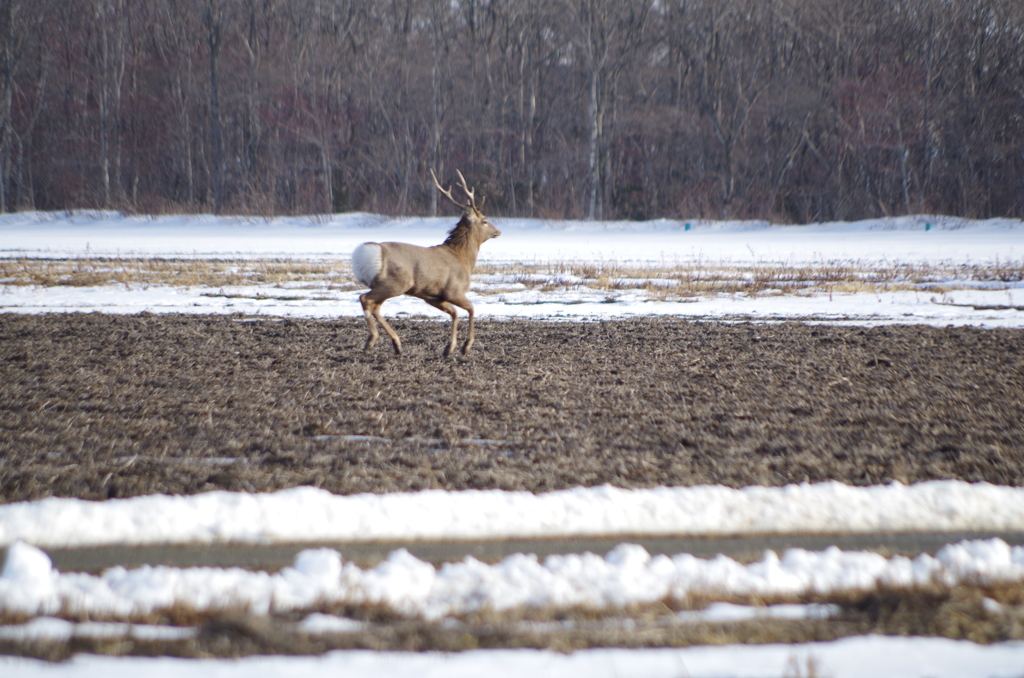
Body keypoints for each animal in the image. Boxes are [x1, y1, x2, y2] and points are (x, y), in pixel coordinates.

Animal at [352, 170, 499, 358]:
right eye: (485, 220)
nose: (497, 232)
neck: (463, 258)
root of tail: (369, 252)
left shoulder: (432, 296)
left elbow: (454, 313)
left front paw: (449, 348)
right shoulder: (454, 290)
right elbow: (471, 309)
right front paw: (465, 346)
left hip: (388, 285)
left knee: (375, 306)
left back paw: (397, 344)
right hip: (396, 282)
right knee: (365, 298)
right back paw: (371, 340)